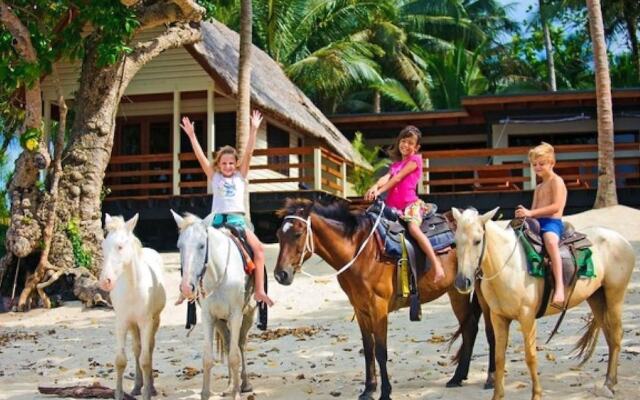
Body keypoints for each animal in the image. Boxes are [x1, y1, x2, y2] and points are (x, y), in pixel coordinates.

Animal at [99, 216, 166, 400]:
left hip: (154, 320)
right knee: (137, 349)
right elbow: (120, 360)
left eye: (120, 247)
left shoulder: (146, 322)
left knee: (148, 348)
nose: (105, 281)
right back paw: (137, 386)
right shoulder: (122, 322)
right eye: (103, 247)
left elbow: (145, 359)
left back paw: (150, 387)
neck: (132, 287)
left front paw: (147, 393)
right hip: (132, 325)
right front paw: (119, 394)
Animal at [172, 209, 258, 400]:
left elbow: (234, 357)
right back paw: (229, 386)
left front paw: (236, 393)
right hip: (220, 321)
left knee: (241, 345)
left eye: (201, 246)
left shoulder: (236, 315)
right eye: (179, 246)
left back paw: (245, 384)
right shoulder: (208, 317)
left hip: (248, 315)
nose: (186, 287)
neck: (219, 273)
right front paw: (206, 393)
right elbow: (208, 358)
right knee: (227, 344)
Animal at [274, 199, 496, 400]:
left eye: (298, 234)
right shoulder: (361, 308)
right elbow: (368, 349)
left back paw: (488, 379)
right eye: (278, 236)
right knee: (469, 328)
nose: (280, 274)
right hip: (456, 291)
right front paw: (368, 389)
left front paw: (385, 392)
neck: (360, 252)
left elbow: (381, 351)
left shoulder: (378, 307)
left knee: (487, 331)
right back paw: (458, 377)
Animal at [450, 206, 636, 400]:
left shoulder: (527, 317)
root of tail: (621, 239)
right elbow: (499, 358)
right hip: (596, 297)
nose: (462, 282)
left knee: (616, 335)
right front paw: (497, 395)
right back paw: (610, 381)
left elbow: (531, 357)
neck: (508, 265)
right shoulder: (498, 317)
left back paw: (609, 384)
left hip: (615, 295)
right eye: (455, 242)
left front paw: (537, 394)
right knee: (609, 336)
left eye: (477, 241)